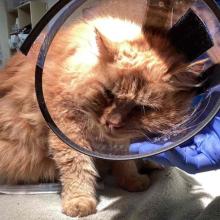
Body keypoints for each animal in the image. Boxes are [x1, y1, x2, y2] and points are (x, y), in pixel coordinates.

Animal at [0, 0, 206, 217]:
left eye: (142, 109)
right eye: (109, 94)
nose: (111, 123)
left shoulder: (120, 143)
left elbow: (125, 162)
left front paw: (132, 180)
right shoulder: (67, 125)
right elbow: (77, 165)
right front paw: (79, 201)